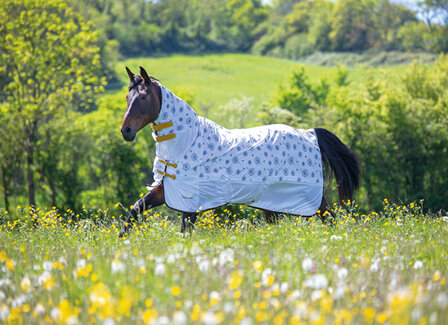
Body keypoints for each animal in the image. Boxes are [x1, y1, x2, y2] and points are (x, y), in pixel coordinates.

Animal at [119, 66, 360, 237]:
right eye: (127, 98)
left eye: (143, 97)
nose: (126, 131)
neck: (185, 140)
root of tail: (309, 133)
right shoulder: (167, 191)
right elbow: (137, 208)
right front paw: (121, 241)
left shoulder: (191, 198)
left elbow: (185, 228)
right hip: (272, 202)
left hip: (306, 196)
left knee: (328, 216)